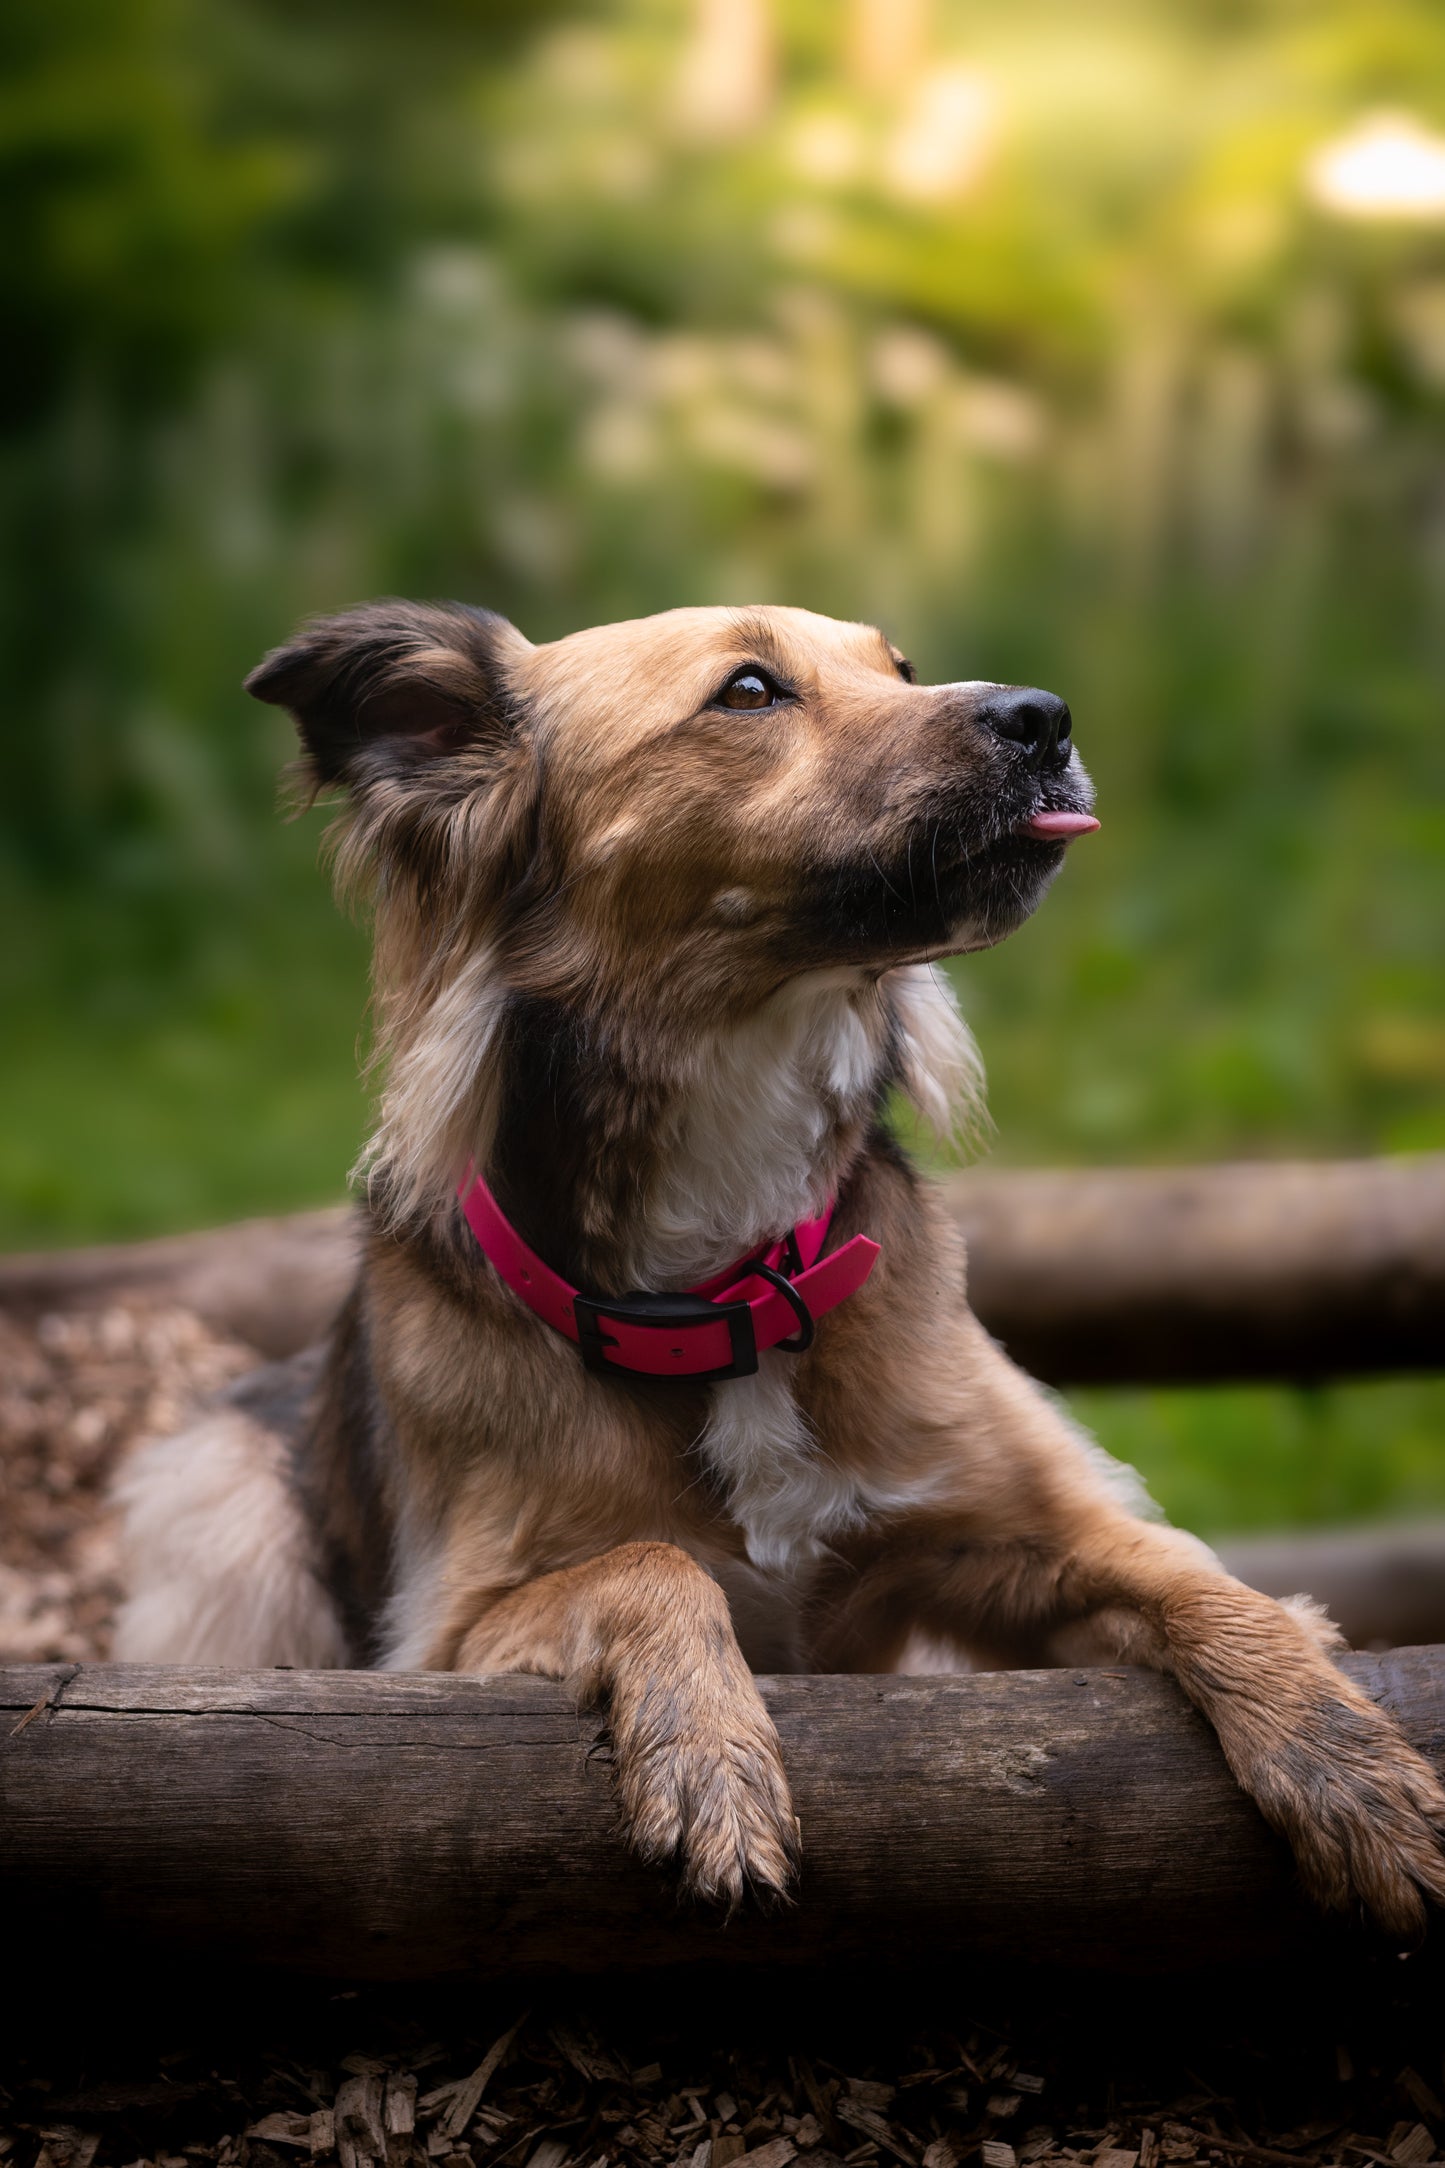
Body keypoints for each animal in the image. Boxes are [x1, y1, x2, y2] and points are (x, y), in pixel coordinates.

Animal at [113, 598, 1445, 1933]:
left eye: (899, 666)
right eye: (748, 691)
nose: (1043, 716)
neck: (730, 1286)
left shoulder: (1035, 1525)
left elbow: (1204, 1587)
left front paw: (1350, 1765)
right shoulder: (444, 1638)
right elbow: (648, 1562)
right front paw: (708, 1759)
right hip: (218, 1502)